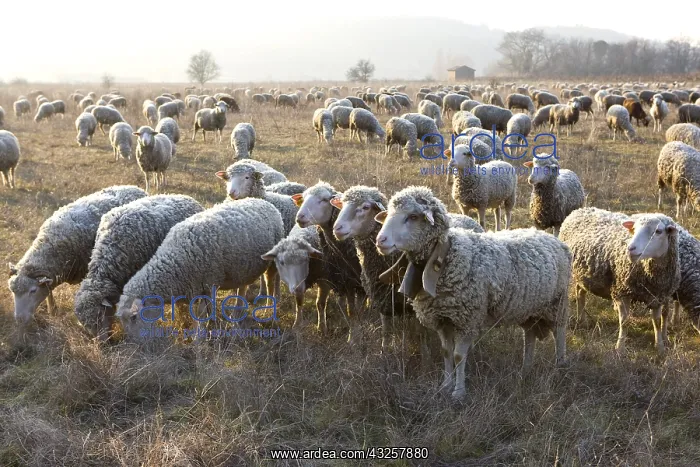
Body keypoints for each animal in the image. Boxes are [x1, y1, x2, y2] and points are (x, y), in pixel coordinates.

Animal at [8, 186, 147, 324]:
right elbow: (49, 292)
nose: (19, 319)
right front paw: (53, 311)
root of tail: (135, 188)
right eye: (12, 291)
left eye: (33, 291)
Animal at [115, 198, 285, 339]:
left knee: (268, 283)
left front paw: (200, 336)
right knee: (241, 288)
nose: (136, 343)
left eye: (133, 317)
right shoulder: (195, 286)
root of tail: (263, 201)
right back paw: (236, 313)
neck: (175, 260)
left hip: (268, 263)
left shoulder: (208, 283)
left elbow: (201, 312)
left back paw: (263, 312)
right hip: (242, 268)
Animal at [374, 186, 570, 399]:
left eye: (413, 216)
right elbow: (446, 352)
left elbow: (459, 356)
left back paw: (560, 366)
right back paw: (526, 368)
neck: (447, 256)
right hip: (530, 309)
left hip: (557, 303)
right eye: (388, 214)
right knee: (530, 335)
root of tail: (555, 240)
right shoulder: (443, 319)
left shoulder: (466, 320)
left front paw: (458, 393)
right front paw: (445, 385)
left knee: (559, 333)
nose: (380, 240)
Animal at [559, 208, 680, 355]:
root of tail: (580, 210)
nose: (630, 248)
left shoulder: (658, 295)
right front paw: (620, 348)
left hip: (582, 273)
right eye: (634, 229)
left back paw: (582, 320)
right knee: (579, 295)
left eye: (658, 231)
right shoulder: (622, 291)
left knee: (580, 292)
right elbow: (624, 321)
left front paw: (660, 347)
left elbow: (657, 321)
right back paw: (580, 320)